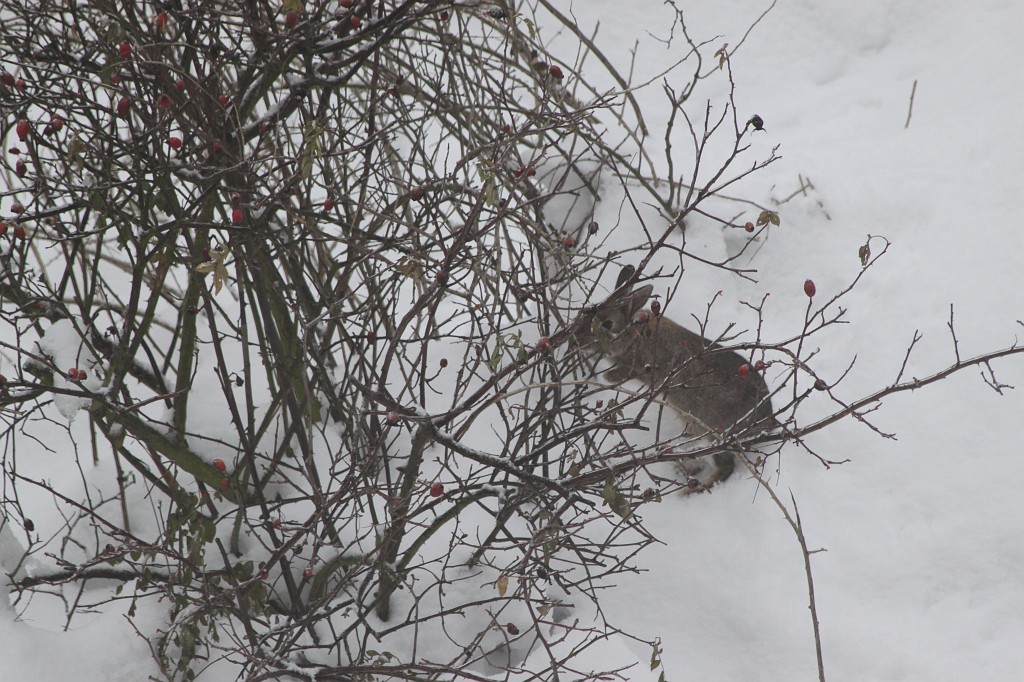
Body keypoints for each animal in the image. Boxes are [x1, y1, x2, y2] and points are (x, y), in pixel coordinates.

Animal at [574, 279, 776, 491]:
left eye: (607, 323)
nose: (577, 338)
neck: (637, 333)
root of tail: (767, 421)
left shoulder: (652, 370)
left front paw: (608, 376)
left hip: (713, 434)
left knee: (725, 466)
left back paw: (690, 491)